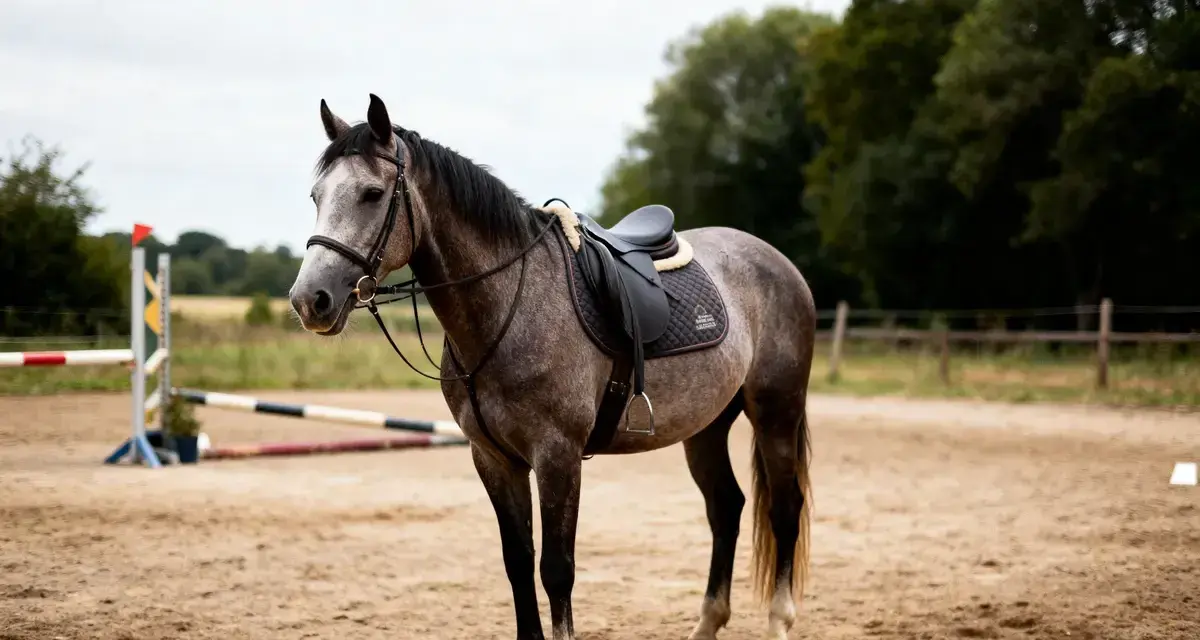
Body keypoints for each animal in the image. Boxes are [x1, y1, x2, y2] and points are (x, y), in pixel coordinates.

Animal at [289, 94, 816, 640]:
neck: (509, 305)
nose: (310, 300)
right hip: (707, 426)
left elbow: (556, 570)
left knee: (784, 507)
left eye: (372, 194)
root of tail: (774, 260)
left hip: (776, 412)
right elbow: (518, 562)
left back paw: (779, 621)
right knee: (726, 507)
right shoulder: (493, 458)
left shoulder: (557, 455)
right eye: (316, 196)